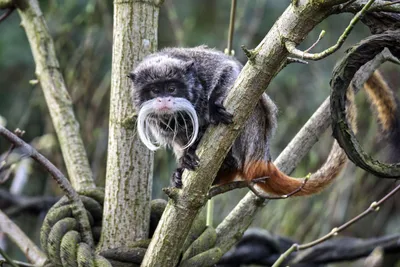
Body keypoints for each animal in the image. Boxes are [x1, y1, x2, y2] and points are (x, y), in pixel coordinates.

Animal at [130, 45, 400, 197]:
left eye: (171, 87)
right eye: (154, 90)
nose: (164, 100)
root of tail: (261, 157)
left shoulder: (203, 66)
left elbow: (229, 71)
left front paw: (213, 107)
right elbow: (176, 137)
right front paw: (184, 157)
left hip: (252, 139)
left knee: (253, 106)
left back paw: (229, 163)